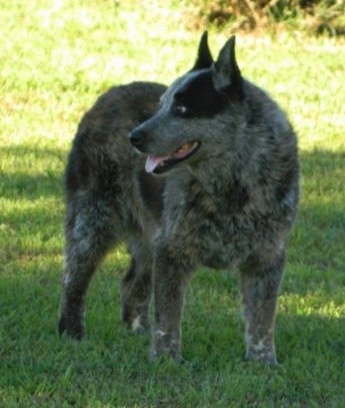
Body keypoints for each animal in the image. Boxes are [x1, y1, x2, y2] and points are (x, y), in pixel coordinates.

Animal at [58, 31, 298, 364]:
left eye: (183, 108)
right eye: (162, 105)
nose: (134, 137)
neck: (233, 183)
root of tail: (107, 97)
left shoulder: (267, 257)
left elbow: (262, 319)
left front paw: (263, 363)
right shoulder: (172, 251)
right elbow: (168, 316)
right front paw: (166, 360)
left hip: (147, 236)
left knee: (132, 282)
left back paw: (135, 332)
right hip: (92, 219)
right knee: (74, 277)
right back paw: (71, 332)